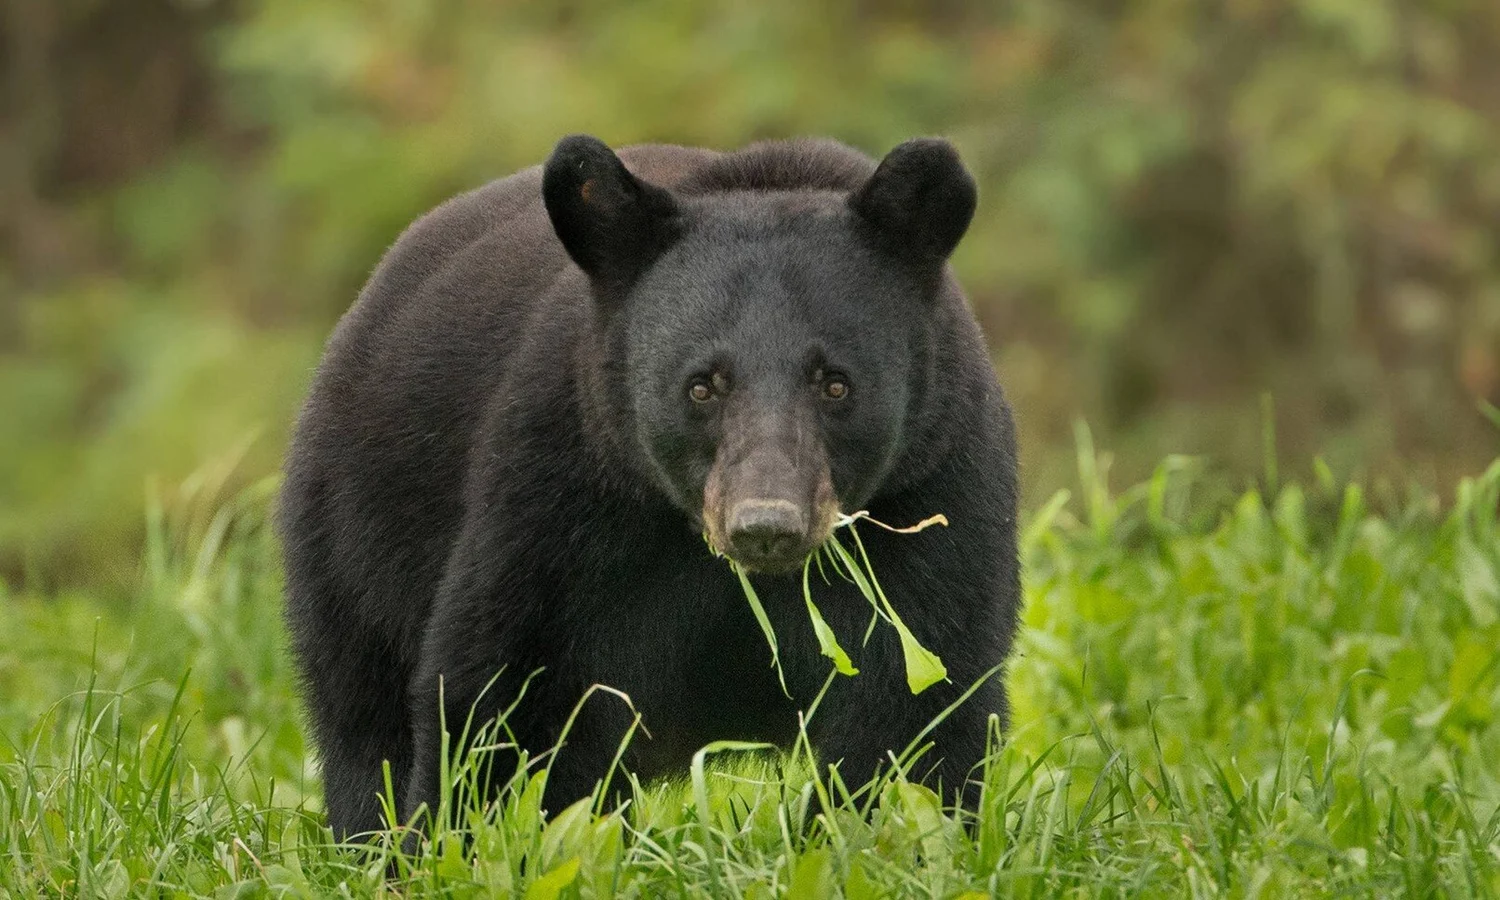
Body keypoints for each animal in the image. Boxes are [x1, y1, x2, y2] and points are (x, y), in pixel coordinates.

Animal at [278, 133, 1021, 840]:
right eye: (702, 385)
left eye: (835, 383)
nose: (766, 526)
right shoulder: (564, 499)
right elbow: (511, 698)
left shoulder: (934, 493)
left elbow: (913, 704)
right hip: (355, 536)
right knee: (362, 722)